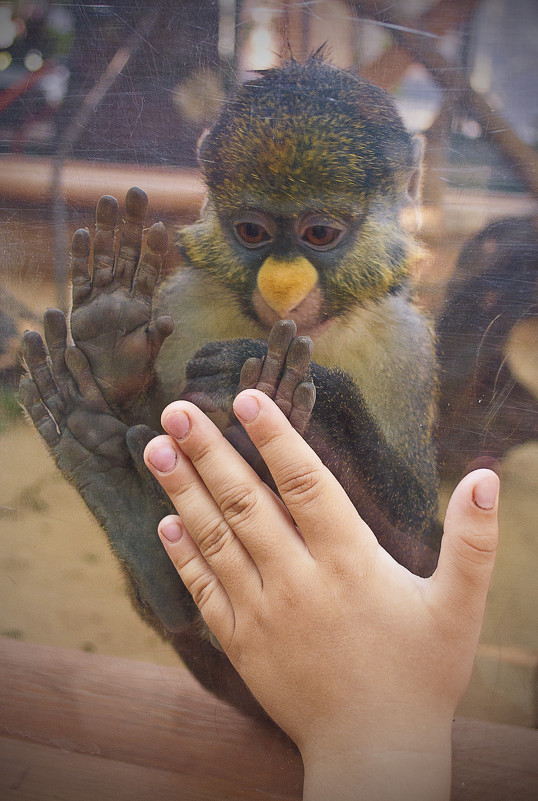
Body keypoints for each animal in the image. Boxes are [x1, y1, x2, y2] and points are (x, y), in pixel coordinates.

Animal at [21, 56, 440, 716]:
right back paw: (124, 504)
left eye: (319, 234)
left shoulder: (406, 347)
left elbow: (423, 555)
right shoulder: (185, 301)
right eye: (252, 231)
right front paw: (113, 345)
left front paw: (298, 393)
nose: (282, 282)